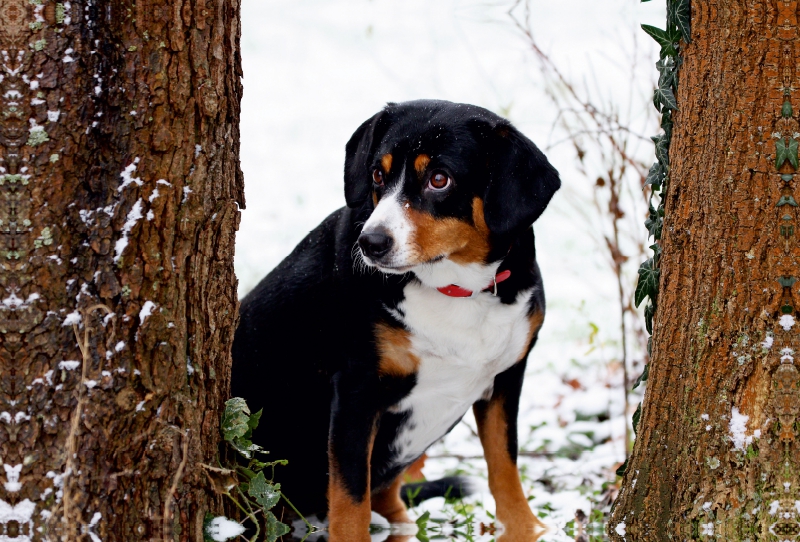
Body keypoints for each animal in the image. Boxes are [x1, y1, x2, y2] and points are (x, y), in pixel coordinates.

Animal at [228, 100, 560, 540]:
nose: (371, 243)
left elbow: (504, 463)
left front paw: (527, 529)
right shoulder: (357, 390)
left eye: (439, 179)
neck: (456, 289)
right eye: (377, 175)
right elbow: (350, 496)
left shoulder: (507, 378)